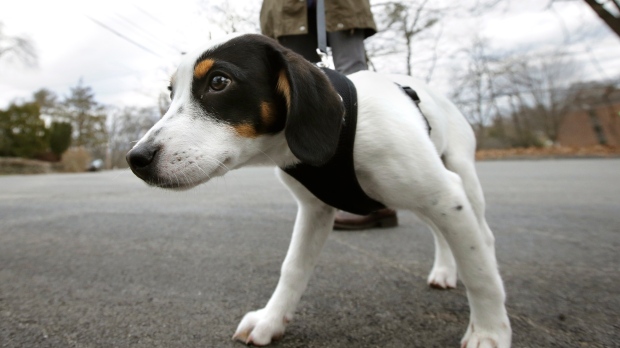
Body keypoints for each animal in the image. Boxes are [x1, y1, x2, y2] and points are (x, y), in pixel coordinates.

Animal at [127, 33, 512, 348]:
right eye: (171, 93)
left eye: (219, 81)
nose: (136, 159)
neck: (341, 127)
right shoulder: (315, 210)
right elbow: (293, 268)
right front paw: (271, 319)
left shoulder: (446, 194)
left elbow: (479, 275)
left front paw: (489, 332)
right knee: (441, 232)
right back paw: (445, 270)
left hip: (458, 178)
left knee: (485, 237)